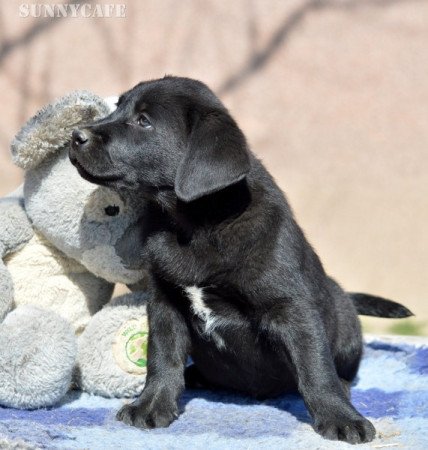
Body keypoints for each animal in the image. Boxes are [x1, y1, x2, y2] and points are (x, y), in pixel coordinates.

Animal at [69, 76, 412, 442]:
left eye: (143, 121)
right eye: (118, 107)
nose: (75, 136)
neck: (197, 223)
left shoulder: (292, 309)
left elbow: (315, 366)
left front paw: (341, 417)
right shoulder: (165, 304)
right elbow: (162, 358)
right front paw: (150, 406)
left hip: (345, 324)